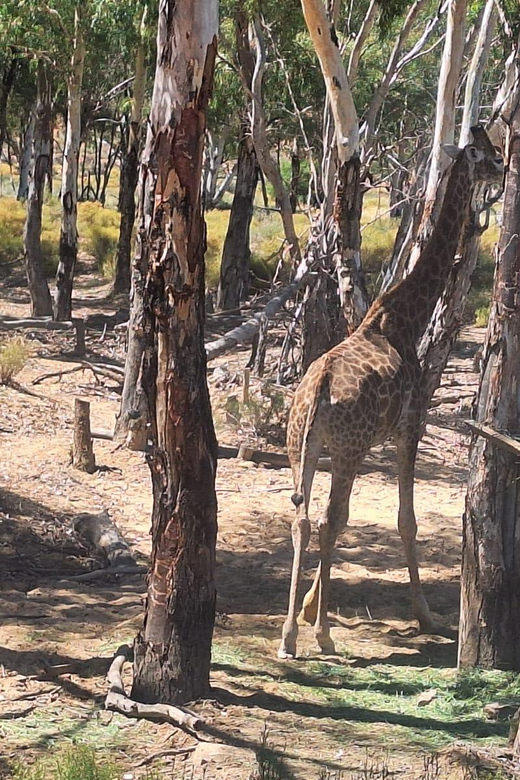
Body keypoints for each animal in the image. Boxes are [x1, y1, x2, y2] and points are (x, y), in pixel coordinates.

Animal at [280, 126, 504, 660]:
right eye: (487, 155)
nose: (506, 168)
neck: (405, 317)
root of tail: (315, 393)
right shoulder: (411, 425)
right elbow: (407, 519)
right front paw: (426, 616)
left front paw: (309, 609)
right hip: (349, 449)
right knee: (329, 519)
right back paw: (320, 635)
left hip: (303, 446)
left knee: (304, 519)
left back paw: (290, 632)